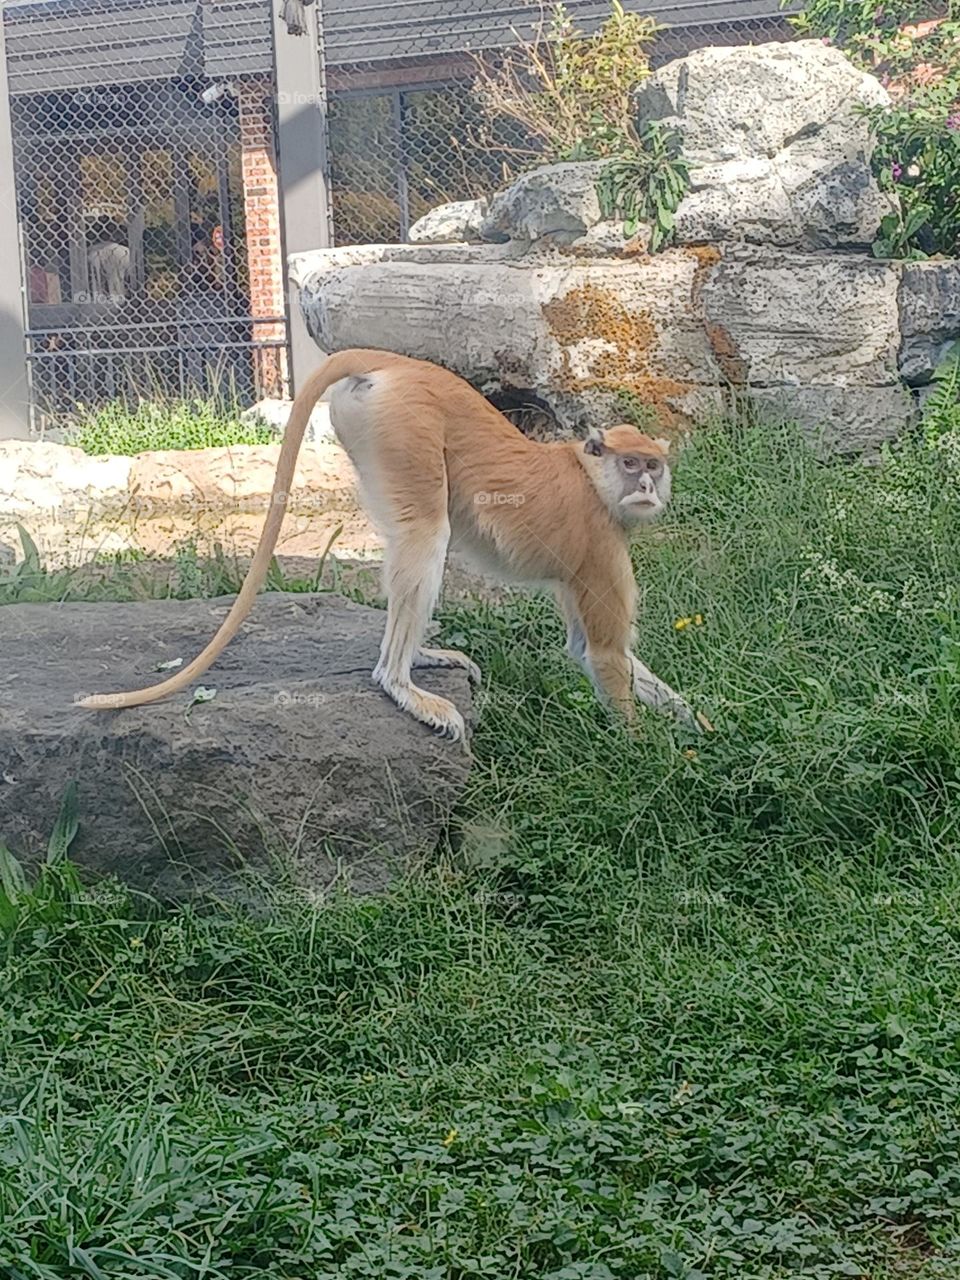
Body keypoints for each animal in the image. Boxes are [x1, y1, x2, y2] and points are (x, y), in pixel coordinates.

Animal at [78, 348, 710, 744]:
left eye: (654, 465)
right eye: (632, 465)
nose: (648, 487)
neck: (588, 474)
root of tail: (395, 362)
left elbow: (587, 648)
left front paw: (701, 725)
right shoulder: (600, 542)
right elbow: (603, 654)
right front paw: (646, 751)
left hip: (372, 429)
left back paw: (422, 657)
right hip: (405, 425)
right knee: (426, 535)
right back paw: (402, 683)